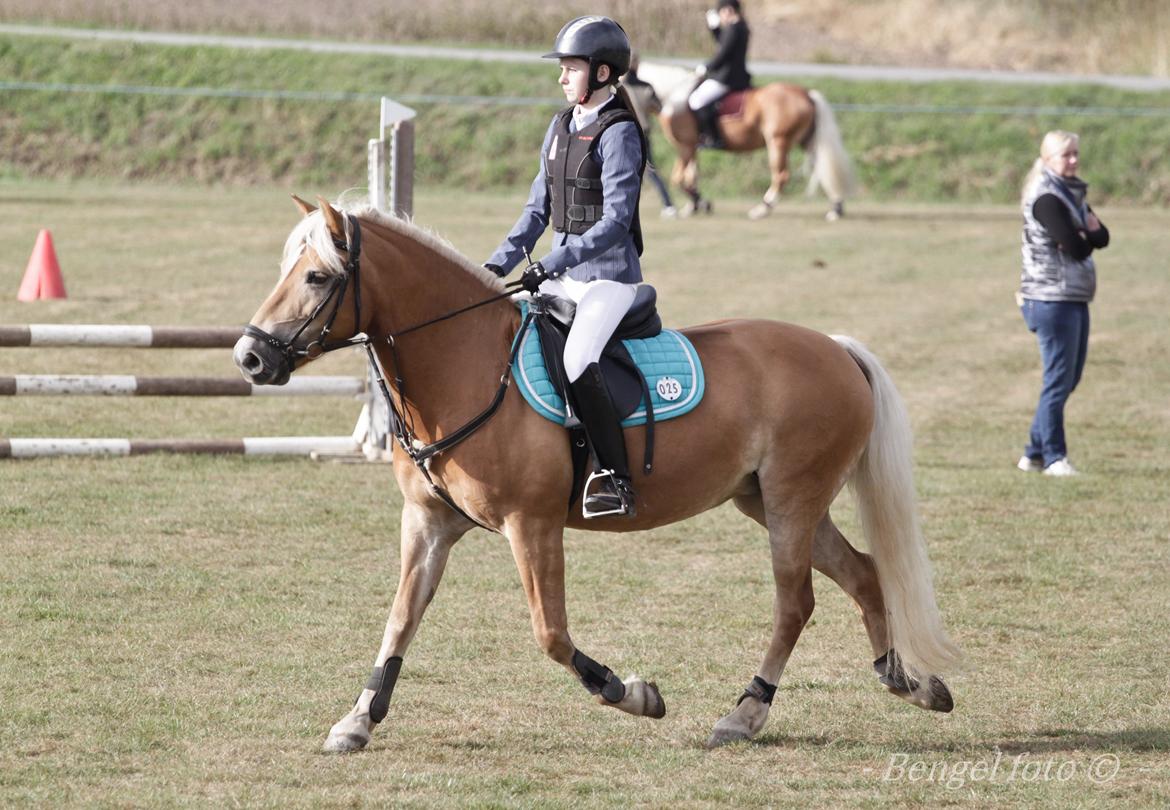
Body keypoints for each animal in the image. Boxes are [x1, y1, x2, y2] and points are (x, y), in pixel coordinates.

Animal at [235, 196, 959, 753]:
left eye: (318, 277)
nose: (249, 356)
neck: (464, 363)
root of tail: (836, 348)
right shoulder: (429, 523)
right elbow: (400, 618)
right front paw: (357, 720)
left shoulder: (532, 525)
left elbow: (550, 634)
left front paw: (633, 693)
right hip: (769, 501)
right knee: (863, 572)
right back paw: (909, 682)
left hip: (790, 503)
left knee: (795, 603)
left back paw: (745, 713)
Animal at [627, 60, 856, 221]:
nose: (643, 129)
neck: (674, 96)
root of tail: (807, 93)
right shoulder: (692, 149)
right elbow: (691, 177)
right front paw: (693, 206)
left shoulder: (685, 147)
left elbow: (679, 178)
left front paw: (701, 204)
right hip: (807, 142)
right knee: (822, 169)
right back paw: (836, 209)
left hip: (778, 142)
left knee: (781, 175)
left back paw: (762, 209)